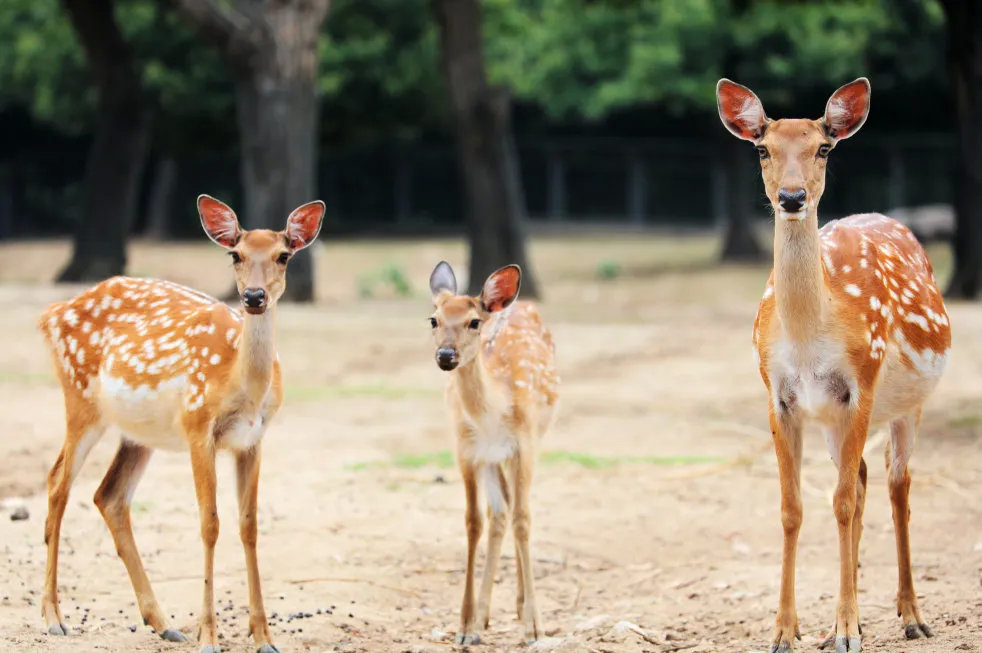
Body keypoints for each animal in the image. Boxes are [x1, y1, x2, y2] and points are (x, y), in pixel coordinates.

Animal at [39, 195, 326, 652]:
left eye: (284, 255)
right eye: (235, 254)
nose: (254, 296)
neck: (239, 386)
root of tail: (51, 313)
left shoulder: (253, 439)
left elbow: (249, 526)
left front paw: (264, 636)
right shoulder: (197, 427)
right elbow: (209, 523)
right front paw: (208, 635)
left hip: (138, 432)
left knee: (108, 495)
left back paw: (163, 622)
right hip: (80, 397)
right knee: (57, 483)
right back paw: (54, 618)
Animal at [428, 262, 560, 644]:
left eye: (474, 322)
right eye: (433, 319)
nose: (446, 355)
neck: (492, 416)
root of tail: (521, 303)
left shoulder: (525, 444)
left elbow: (524, 520)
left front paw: (534, 625)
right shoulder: (466, 450)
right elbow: (474, 522)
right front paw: (464, 626)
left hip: (533, 437)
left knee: (514, 512)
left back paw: (519, 606)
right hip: (492, 459)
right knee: (499, 514)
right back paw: (486, 614)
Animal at [716, 76, 952, 652]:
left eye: (824, 147)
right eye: (762, 148)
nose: (792, 197)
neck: (808, 340)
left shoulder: (860, 384)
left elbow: (840, 502)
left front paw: (845, 629)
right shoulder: (781, 397)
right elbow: (793, 508)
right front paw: (788, 630)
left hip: (906, 403)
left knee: (896, 484)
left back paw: (910, 615)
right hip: (832, 419)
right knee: (864, 480)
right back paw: (855, 619)